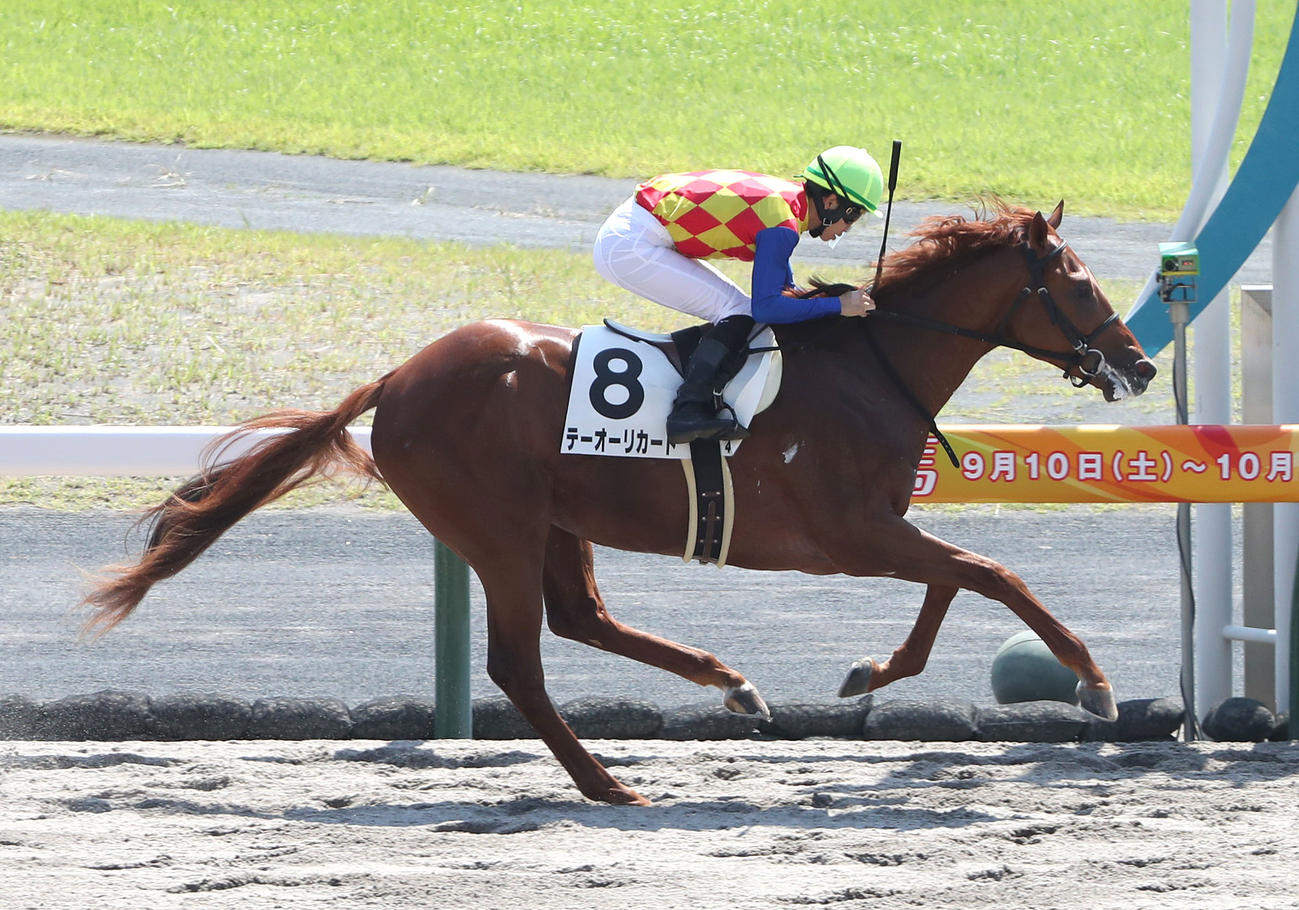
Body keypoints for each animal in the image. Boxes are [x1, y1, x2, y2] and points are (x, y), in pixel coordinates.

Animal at [83, 200, 1156, 806]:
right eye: (1077, 281)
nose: (1140, 363)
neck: (869, 364)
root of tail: (399, 376)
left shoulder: (876, 531)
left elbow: (958, 581)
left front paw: (868, 672)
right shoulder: (848, 534)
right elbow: (993, 573)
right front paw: (1095, 681)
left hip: (557, 521)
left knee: (582, 618)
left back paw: (728, 683)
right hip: (497, 528)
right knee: (520, 661)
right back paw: (607, 783)